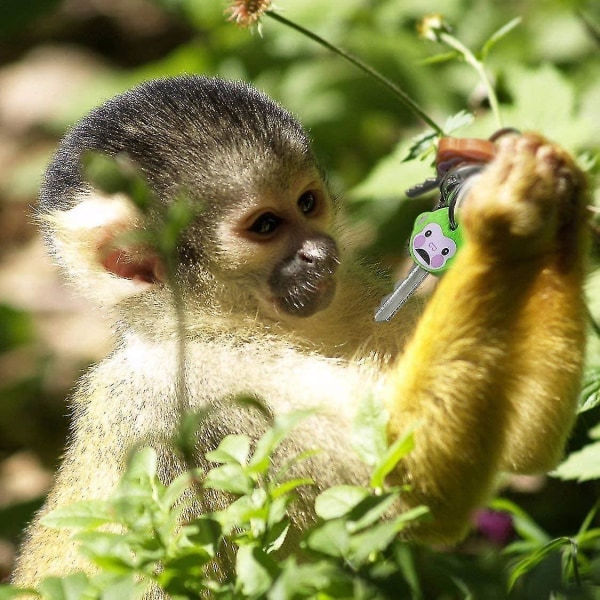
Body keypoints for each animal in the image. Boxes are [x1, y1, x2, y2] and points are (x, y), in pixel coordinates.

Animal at [11, 74, 588, 584]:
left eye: (307, 203)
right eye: (266, 226)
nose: (320, 253)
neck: (218, 322)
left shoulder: (349, 288)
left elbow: (520, 449)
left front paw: (559, 189)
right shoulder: (201, 391)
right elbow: (411, 481)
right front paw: (503, 218)